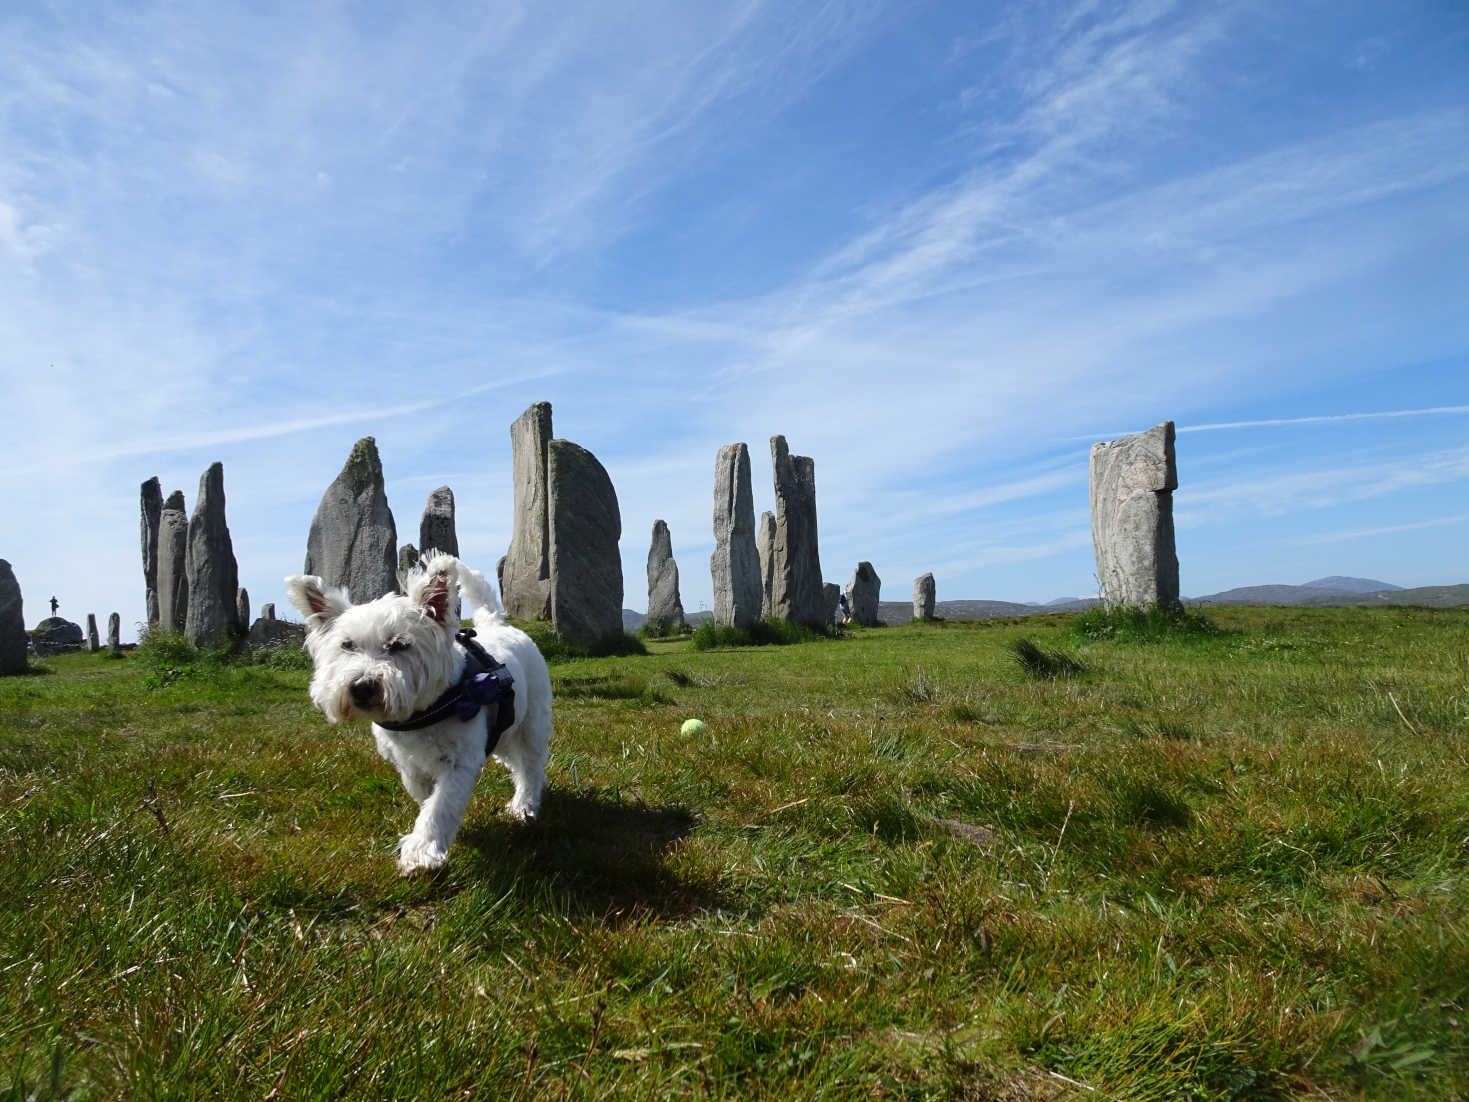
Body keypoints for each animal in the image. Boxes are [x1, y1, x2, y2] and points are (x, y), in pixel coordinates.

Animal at [284, 555, 552, 875]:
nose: (361, 687)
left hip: (531, 724)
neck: (420, 715)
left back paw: (525, 805)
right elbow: (426, 797)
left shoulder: (460, 760)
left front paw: (422, 850)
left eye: (399, 644)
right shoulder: (409, 765)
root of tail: (496, 623)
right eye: (347, 645)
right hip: (504, 733)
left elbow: (441, 804)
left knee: (530, 765)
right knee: (517, 763)